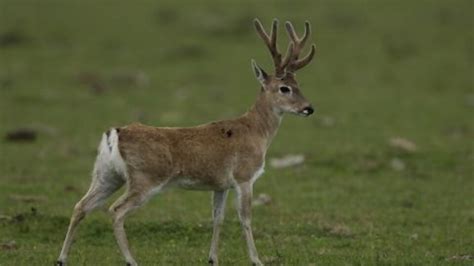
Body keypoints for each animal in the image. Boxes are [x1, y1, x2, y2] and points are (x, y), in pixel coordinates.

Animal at [57, 18, 316, 266]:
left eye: (299, 85)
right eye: (284, 88)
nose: (309, 108)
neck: (256, 132)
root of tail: (115, 133)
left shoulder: (220, 185)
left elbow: (218, 218)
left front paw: (213, 258)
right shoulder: (244, 177)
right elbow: (245, 218)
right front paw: (256, 259)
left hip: (106, 174)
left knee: (81, 206)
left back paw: (62, 258)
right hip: (145, 178)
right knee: (116, 210)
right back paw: (131, 260)